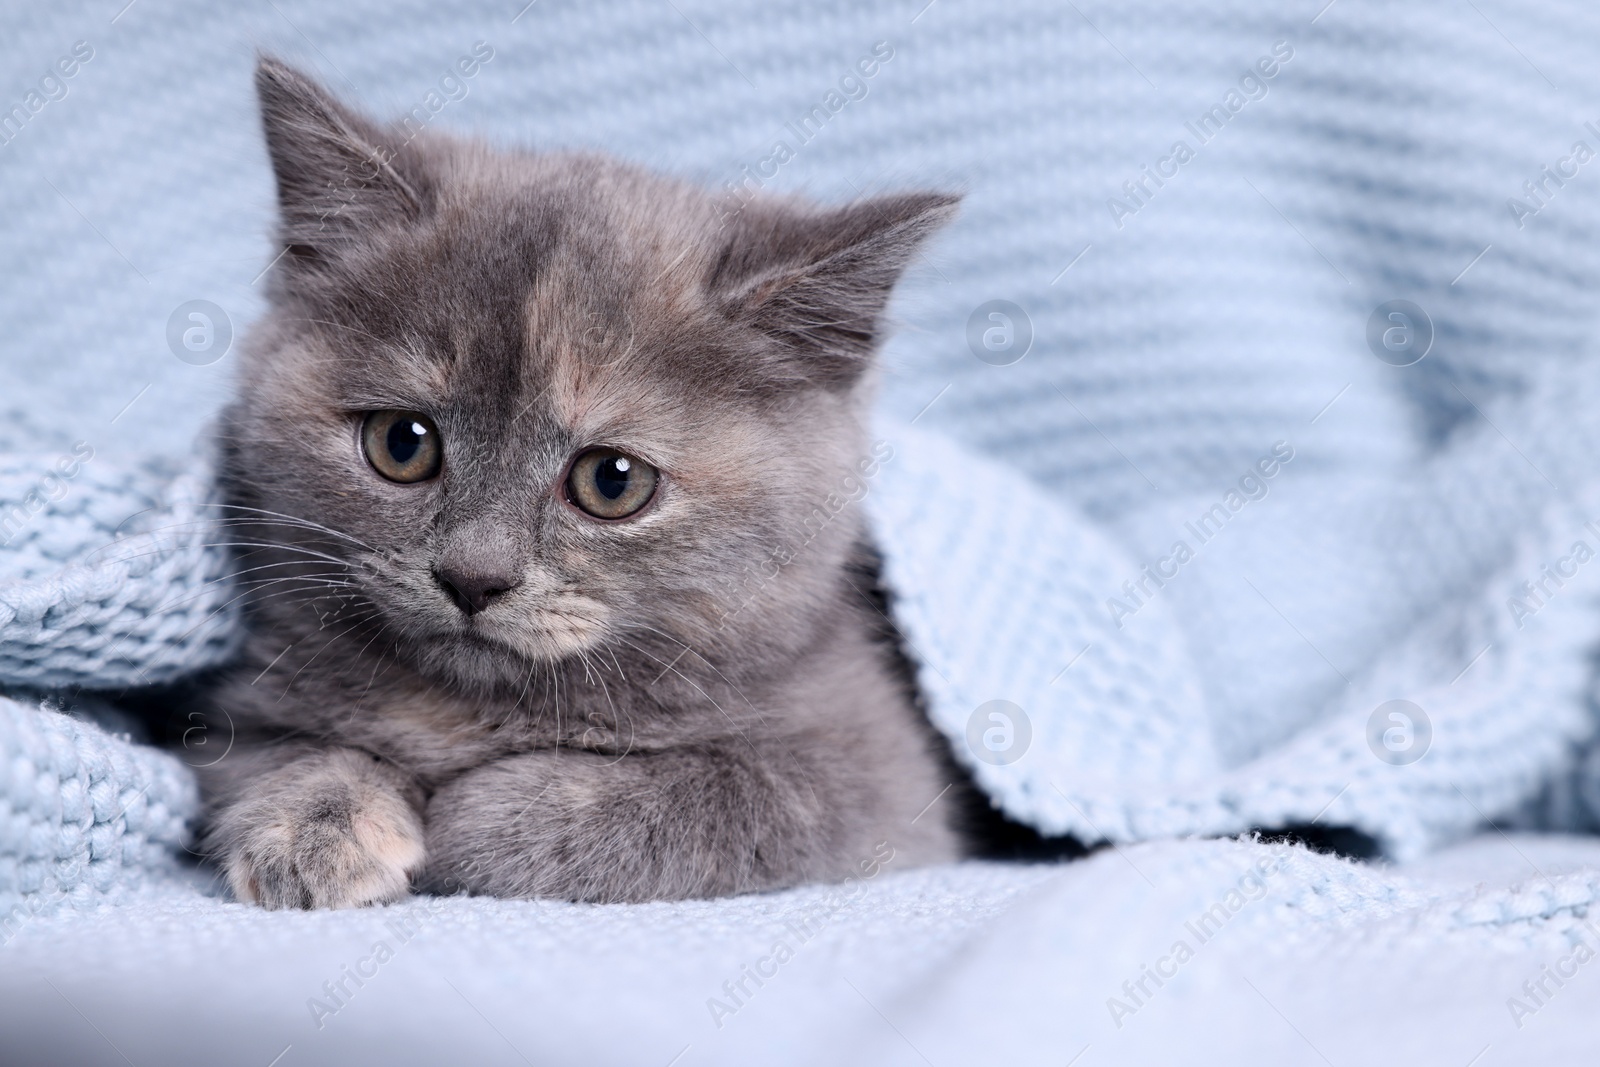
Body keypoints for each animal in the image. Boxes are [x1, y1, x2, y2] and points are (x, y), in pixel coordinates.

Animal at [196, 60, 960, 908]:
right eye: (401, 443)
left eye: (612, 481)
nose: (473, 576)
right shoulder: (240, 709)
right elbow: (277, 748)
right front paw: (312, 823)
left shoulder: (873, 770)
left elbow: (715, 797)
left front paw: (477, 816)